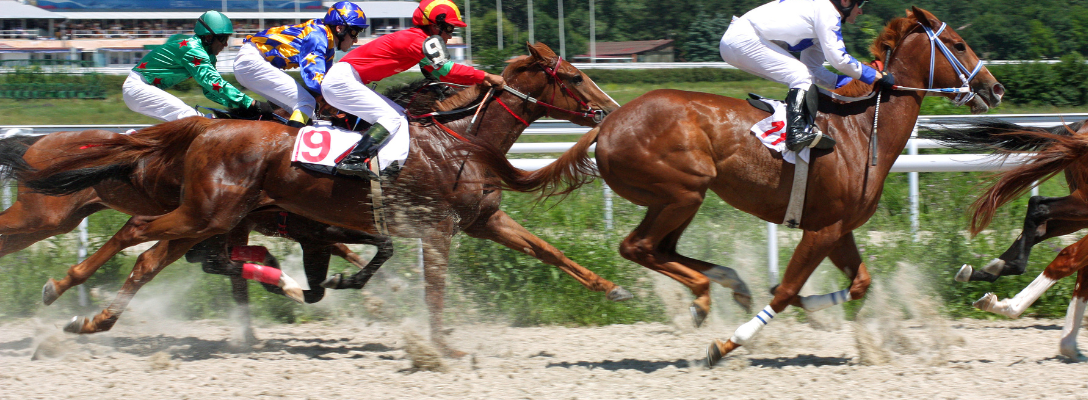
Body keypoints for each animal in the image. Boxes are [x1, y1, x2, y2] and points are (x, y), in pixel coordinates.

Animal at [14, 42, 631, 356]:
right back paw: (63, 290)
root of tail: (203, 128)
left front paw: (615, 288)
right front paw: (440, 347)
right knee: (137, 235)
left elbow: (550, 251)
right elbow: (430, 289)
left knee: (149, 256)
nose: (610, 112)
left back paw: (93, 319)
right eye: (577, 77)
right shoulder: (431, 228)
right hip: (206, 211)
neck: (456, 140)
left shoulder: (481, 219)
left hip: (211, 216)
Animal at [467, 7, 1000, 365]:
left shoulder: (838, 228)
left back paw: (726, 285)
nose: (994, 89)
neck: (857, 131)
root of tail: (609, 122)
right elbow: (786, 293)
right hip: (684, 191)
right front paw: (728, 343)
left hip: (677, 199)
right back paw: (705, 296)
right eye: (958, 43)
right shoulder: (822, 230)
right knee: (638, 246)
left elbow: (857, 284)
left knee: (660, 249)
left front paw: (800, 303)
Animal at [922, 118, 1088, 358]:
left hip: (1079, 209)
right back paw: (1005, 283)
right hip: (1082, 203)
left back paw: (987, 271)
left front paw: (1070, 347)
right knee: (1041, 212)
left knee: (1041, 226)